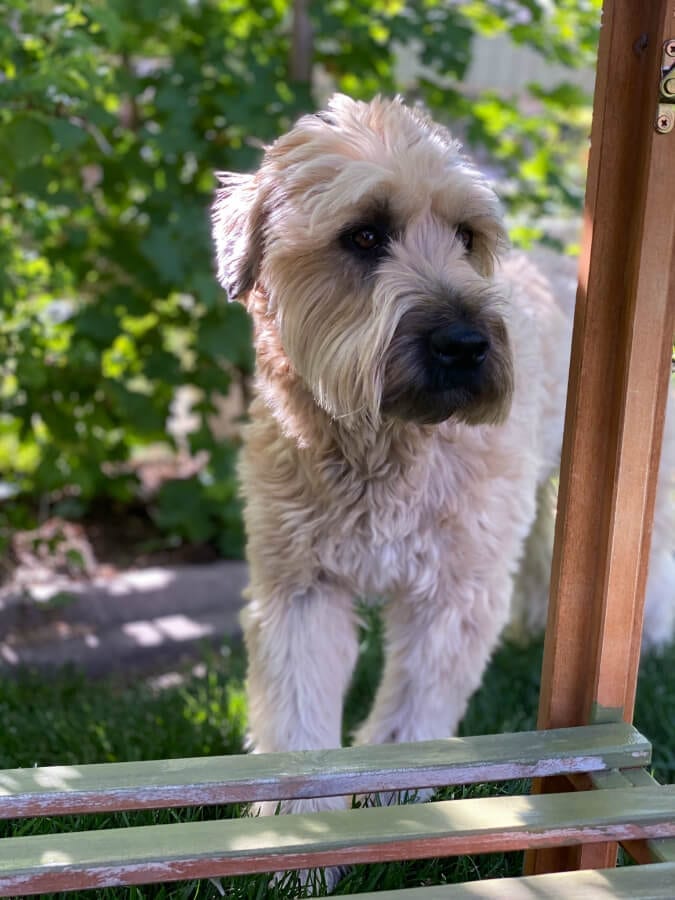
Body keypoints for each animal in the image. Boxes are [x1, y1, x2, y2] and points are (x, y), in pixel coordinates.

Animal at [213, 95, 675, 828]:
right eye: (364, 235)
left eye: (466, 235)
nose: (465, 344)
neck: (384, 445)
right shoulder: (301, 585)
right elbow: (297, 702)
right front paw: (298, 816)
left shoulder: (453, 586)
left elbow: (413, 705)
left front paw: (391, 791)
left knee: (647, 550)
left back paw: (652, 633)